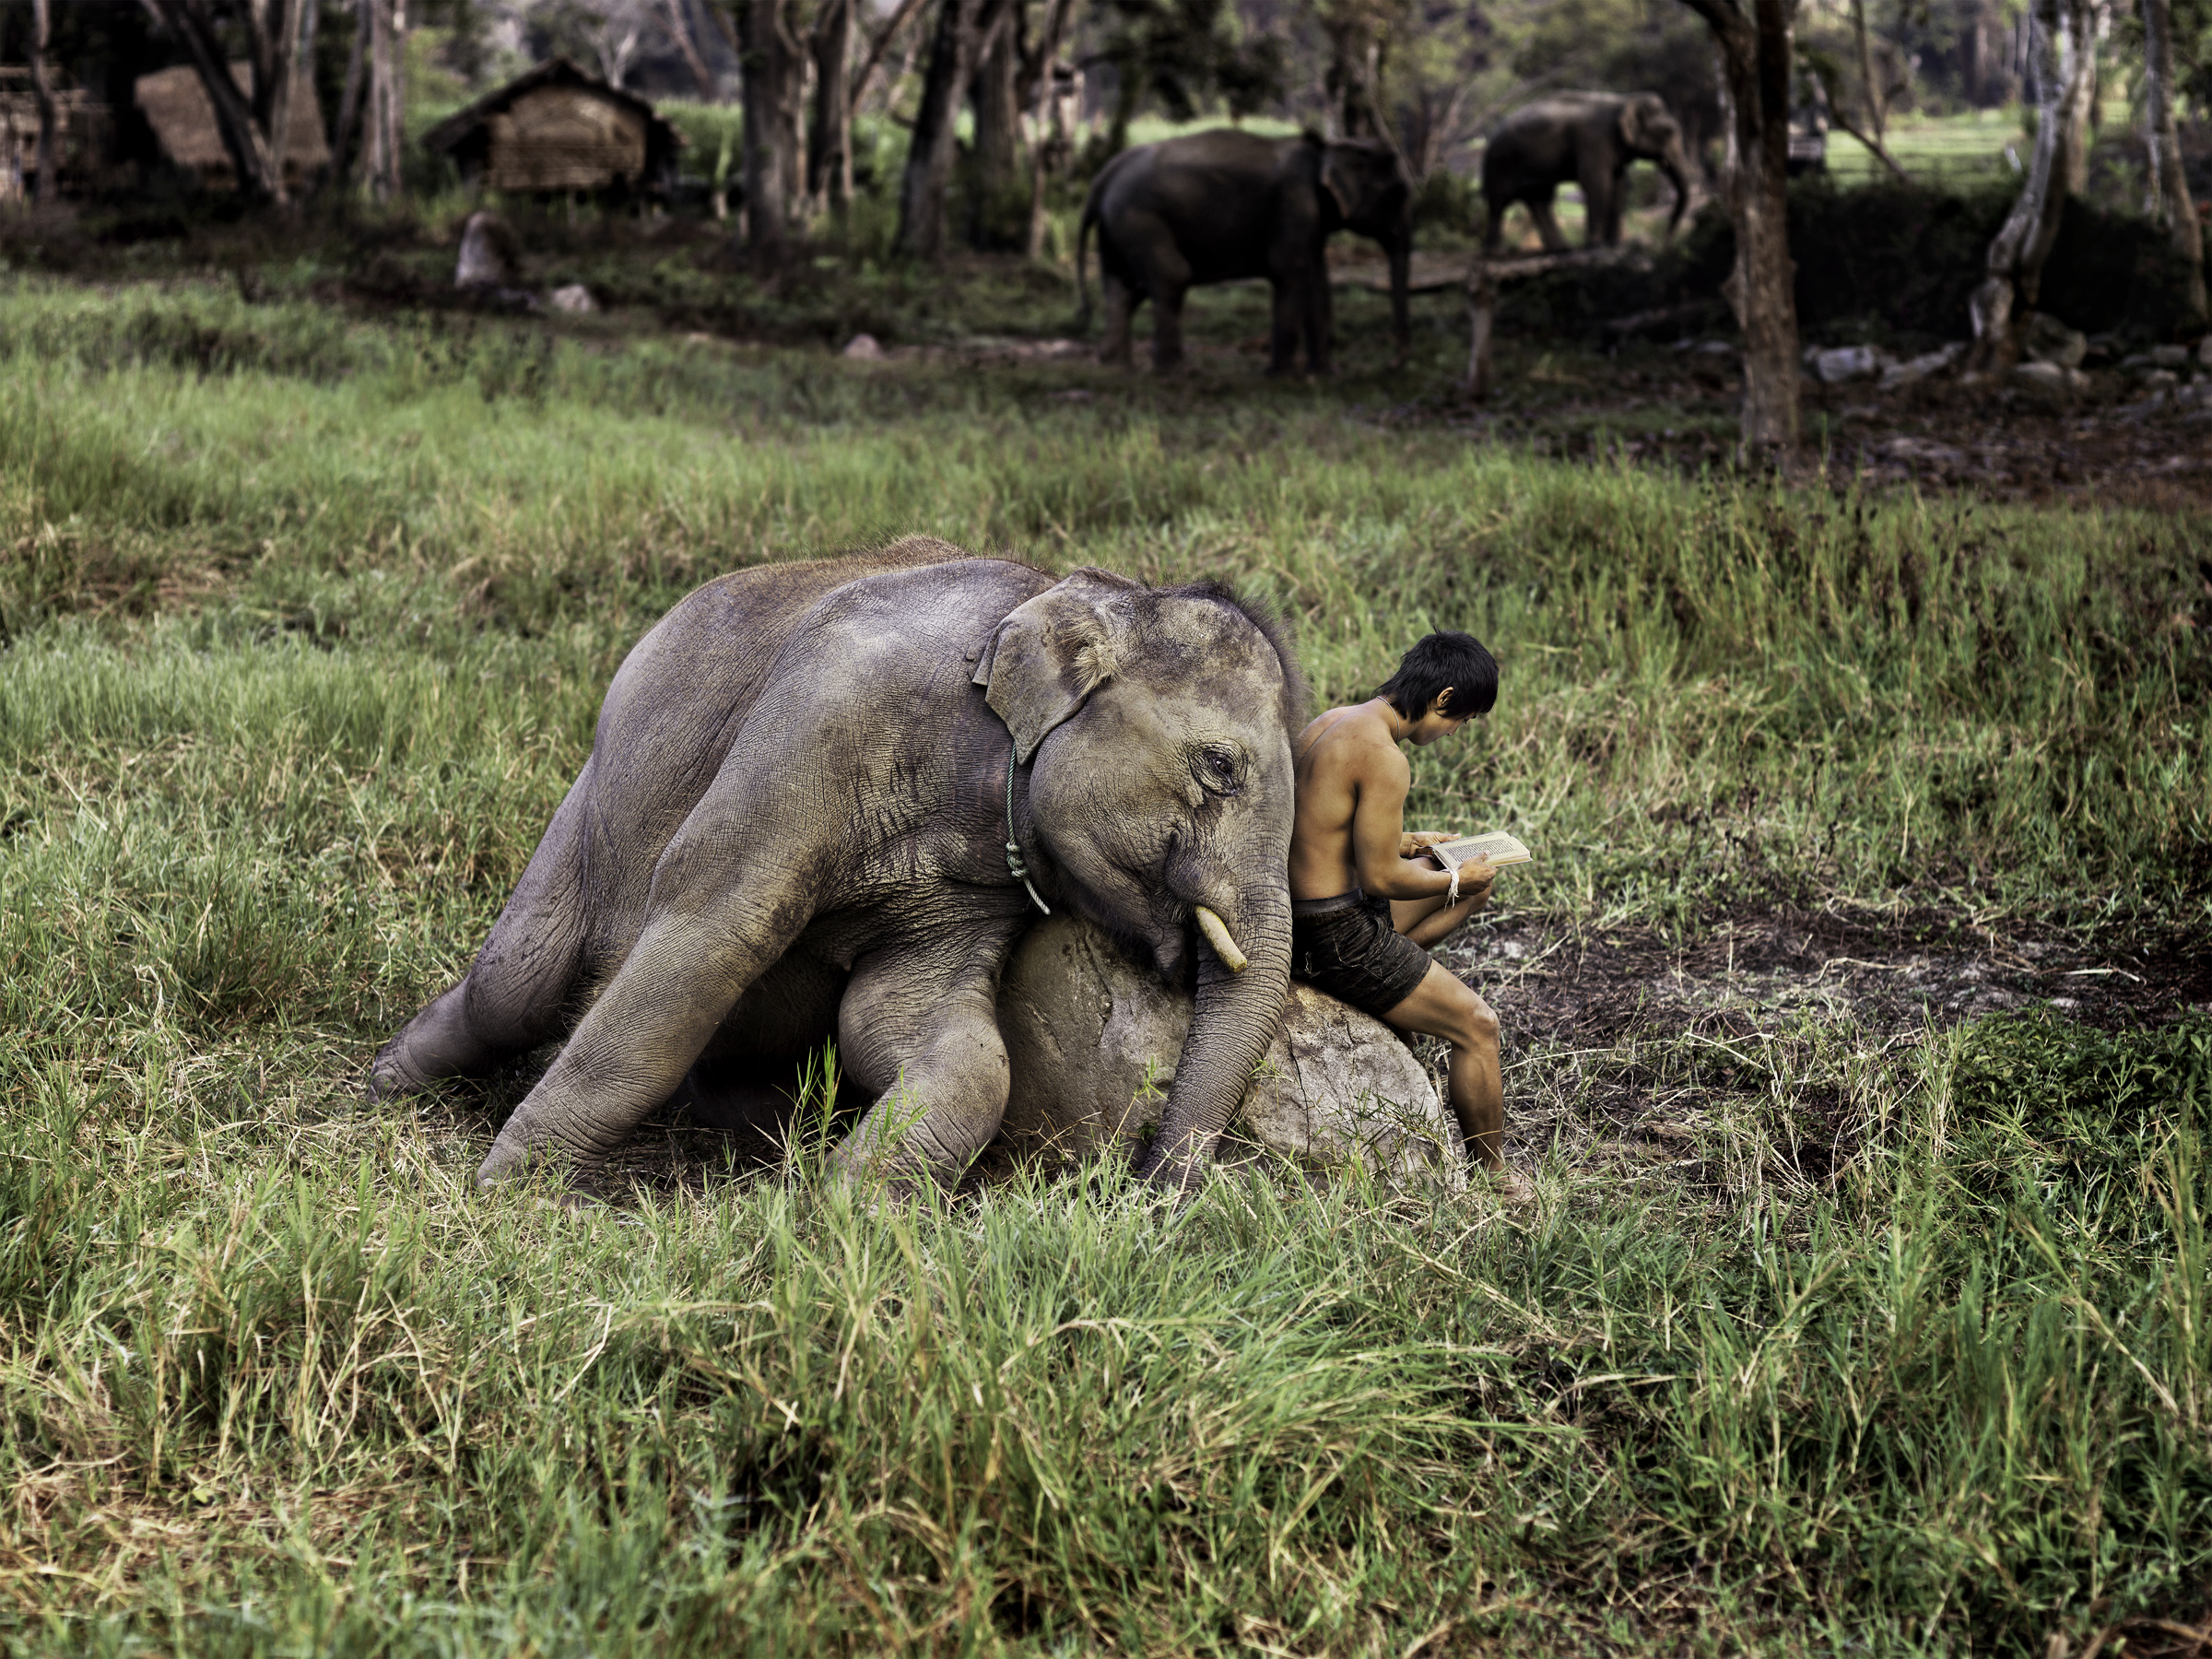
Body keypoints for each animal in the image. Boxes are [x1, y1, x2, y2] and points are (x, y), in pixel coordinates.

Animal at [360, 539, 1291, 1203]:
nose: (1150, 1188)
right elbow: (709, 935)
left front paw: (849, 1215)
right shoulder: (822, 717)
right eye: (1220, 768)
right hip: (592, 795)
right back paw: (388, 1083)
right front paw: (515, 1197)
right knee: (517, 983)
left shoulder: (971, 886)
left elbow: (931, 1034)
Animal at [1075, 130, 1416, 376]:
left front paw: (1325, 375)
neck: (1328, 147)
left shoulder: (1311, 220)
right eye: (1398, 193)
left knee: (1123, 287)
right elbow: (1289, 272)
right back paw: (1177, 371)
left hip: (1116, 228)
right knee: (1172, 277)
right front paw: (1281, 377)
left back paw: (1118, 366)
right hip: (1140, 220)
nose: (1391, 365)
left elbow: (1319, 282)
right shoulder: (1295, 206)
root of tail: (1103, 177)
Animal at [1486, 90, 1689, 253]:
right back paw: (1495, 253)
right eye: (1668, 132)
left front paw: (1614, 245)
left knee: (1539, 200)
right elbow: (1598, 182)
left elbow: (1619, 185)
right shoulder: (1594, 140)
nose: (1665, 239)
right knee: (1498, 203)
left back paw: (1562, 249)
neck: (1624, 100)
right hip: (1498, 163)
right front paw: (1596, 245)